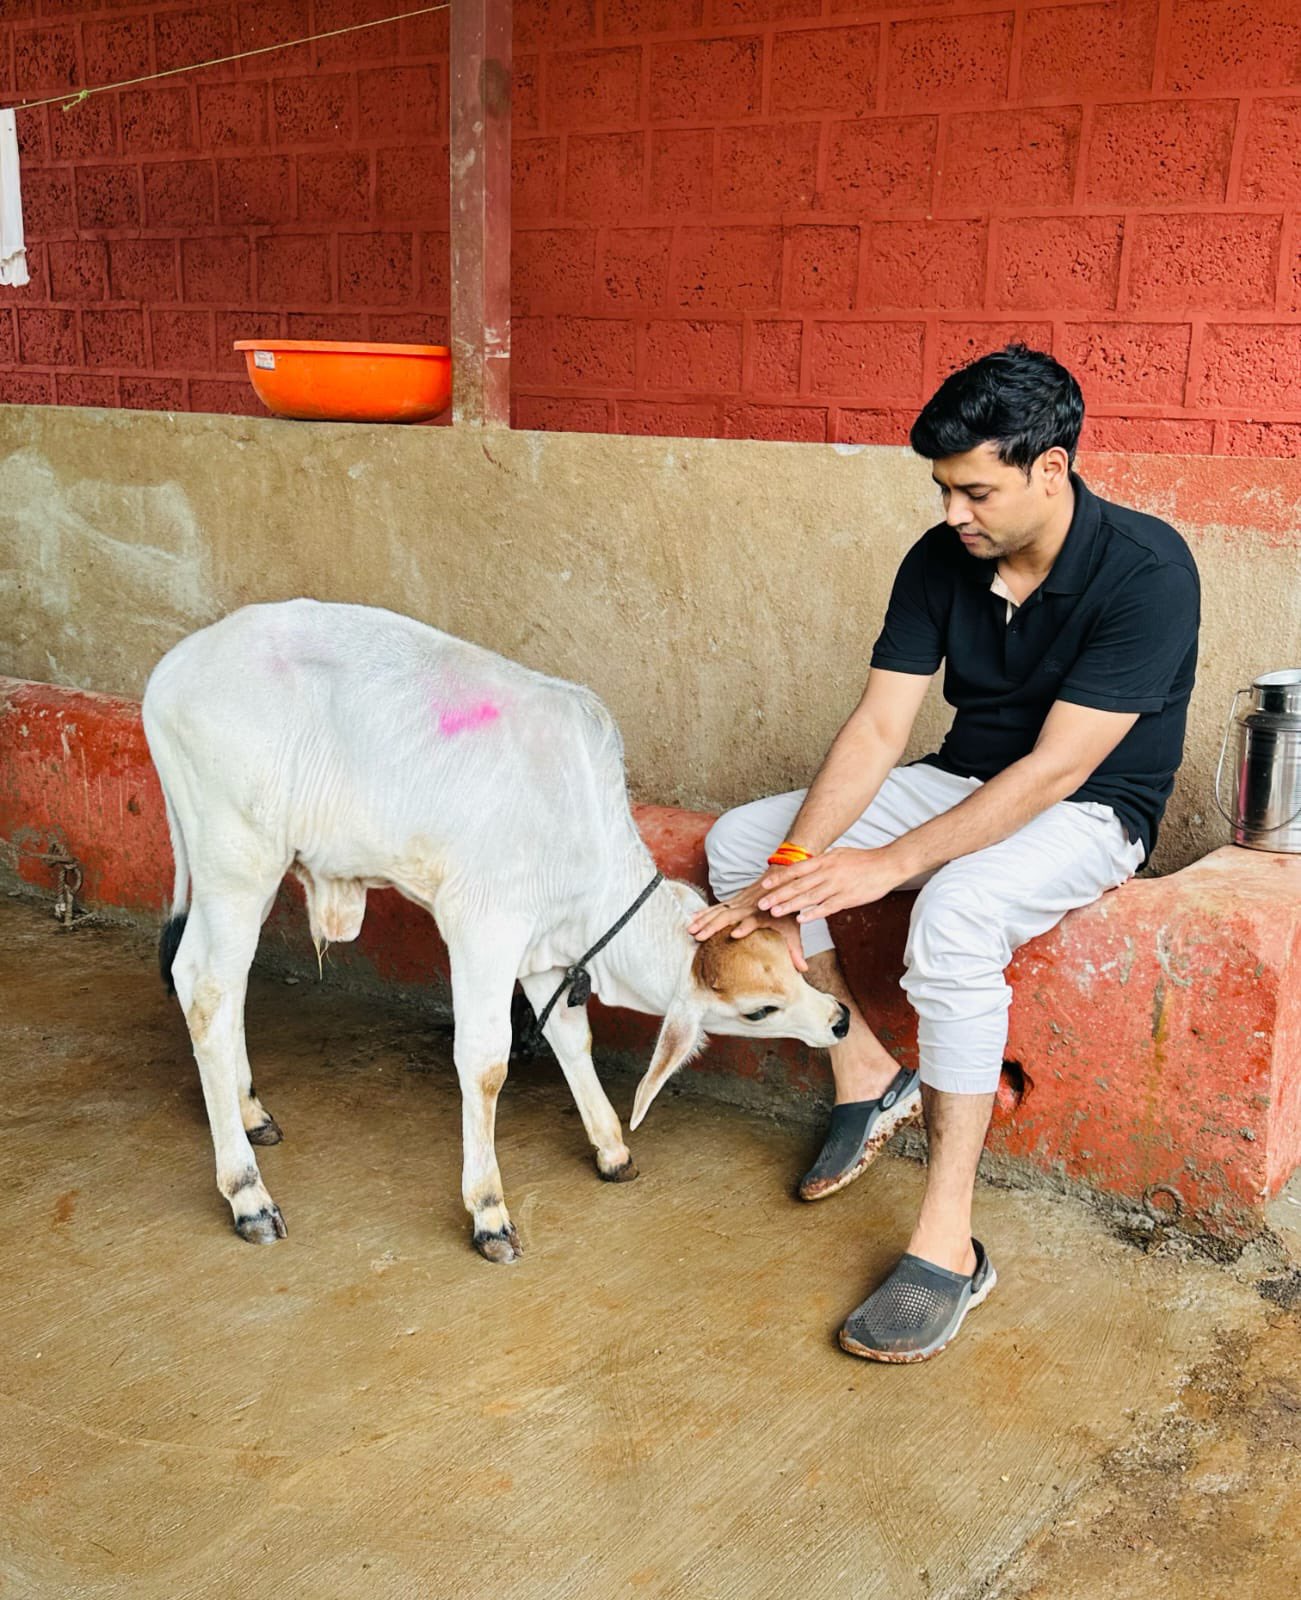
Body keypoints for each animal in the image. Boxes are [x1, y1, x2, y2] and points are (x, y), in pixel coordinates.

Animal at [144, 601, 851, 1260]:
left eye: (791, 962)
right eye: (760, 1010)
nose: (839, 1018)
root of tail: (171, 670)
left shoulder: (544, 952)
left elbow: (572, 1036)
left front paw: (611, 1148)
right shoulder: (483, 929)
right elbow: (485, 1064)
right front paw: (487, 1209)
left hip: (243, 876)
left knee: (206, 978)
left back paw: (248, 1111)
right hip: (238, 865)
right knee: (209, 994)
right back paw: (247, 1194)